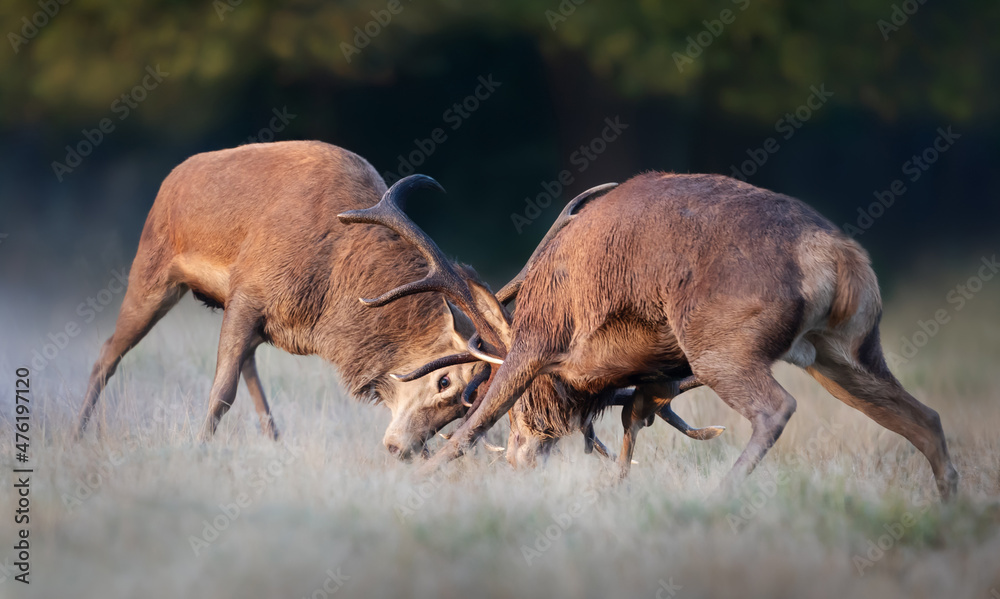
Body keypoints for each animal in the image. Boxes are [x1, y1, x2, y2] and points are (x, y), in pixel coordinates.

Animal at [339, 172, 959, 500]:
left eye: (530, 413)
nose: (519, 461)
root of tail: (836, 257)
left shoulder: (541, 337)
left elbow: (473, 424)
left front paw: (419, 481)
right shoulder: (654, 369)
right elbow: (632, 424)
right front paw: (615, 491)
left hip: (721, 343)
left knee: (776, 407)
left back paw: (721, 497)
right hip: (846, 351)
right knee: (926, 418)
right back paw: (950, 510)